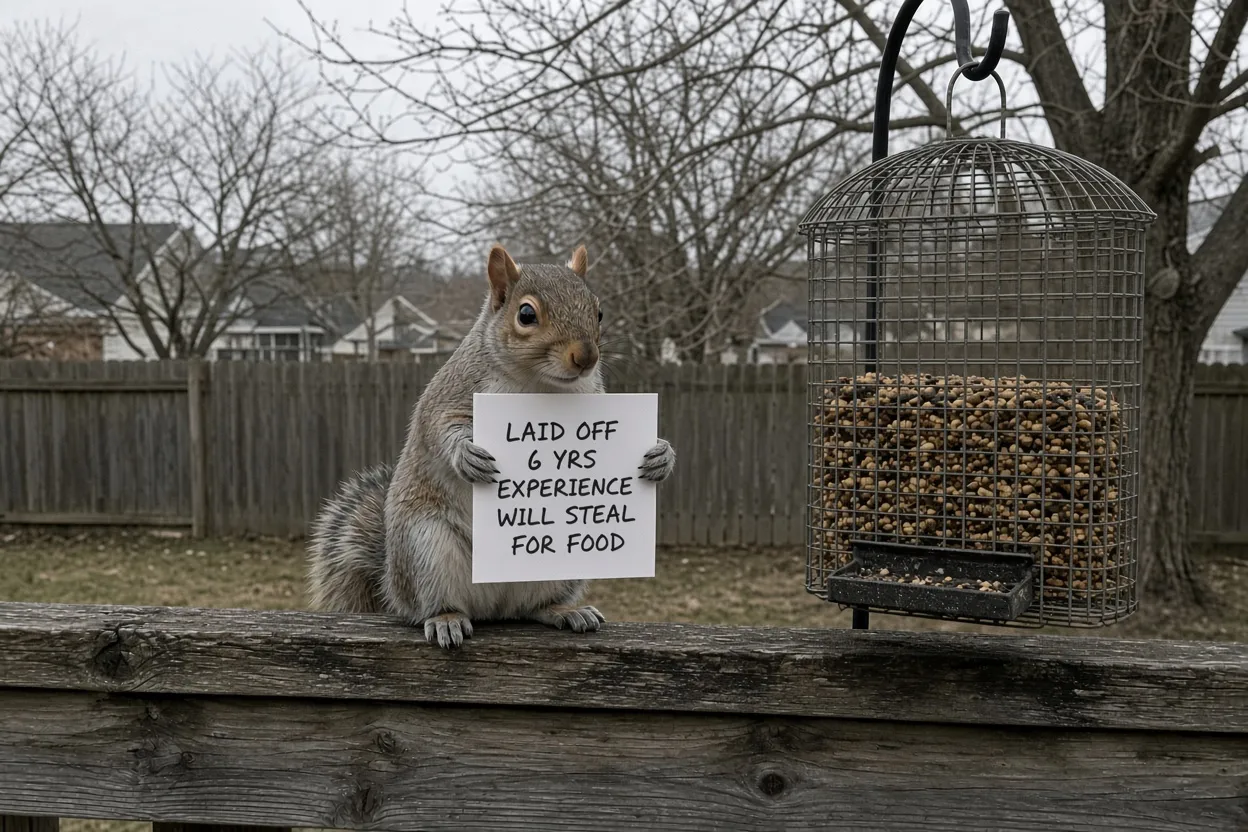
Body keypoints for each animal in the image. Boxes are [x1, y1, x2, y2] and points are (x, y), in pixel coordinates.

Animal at [306, 243, 676, 648]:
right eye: (526, 314)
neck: (540, 386)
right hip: (426, 548)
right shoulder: (449, 395)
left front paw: (661, 455)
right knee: (429, 605)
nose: (587, 357)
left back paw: (564, 610)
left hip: (564, 561)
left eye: (599, 311)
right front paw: (466, 455)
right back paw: (446, 619)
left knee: (533, 607)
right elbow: (439, 429)